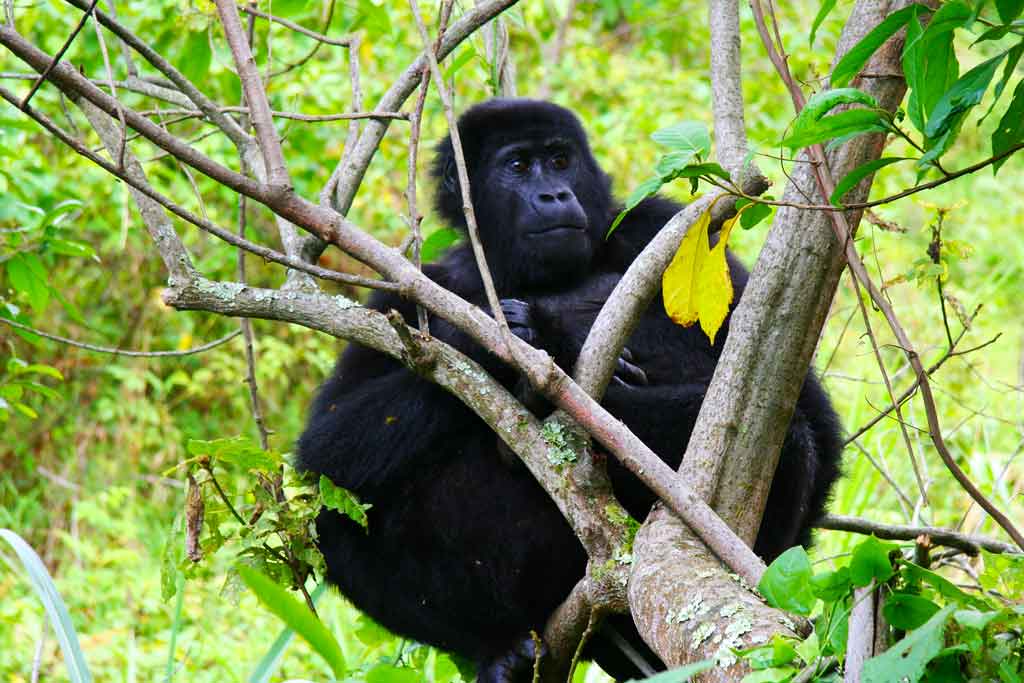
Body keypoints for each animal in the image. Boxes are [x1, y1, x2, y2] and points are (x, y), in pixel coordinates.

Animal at [296, 98, 839, 679]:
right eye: (517, 166)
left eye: (560, 160)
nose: (554, 195)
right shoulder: (409, 287)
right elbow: (327, 443)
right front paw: (490, 339)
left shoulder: (661, 228)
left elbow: (797, 401)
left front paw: (552, 343)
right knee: (334, 518)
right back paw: (494, 646)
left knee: (787, 438)